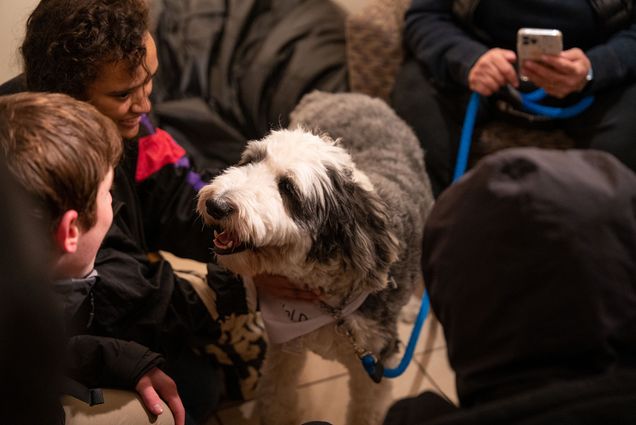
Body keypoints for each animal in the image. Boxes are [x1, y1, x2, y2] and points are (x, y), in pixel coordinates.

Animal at [198, 91, 432, 422]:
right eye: (251, 160)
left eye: (288, 188)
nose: (216, 205)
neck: (326, 304)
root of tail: (346, 94)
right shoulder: (284, 349)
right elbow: (274, 398)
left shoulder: (373, 367)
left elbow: (365, 411)